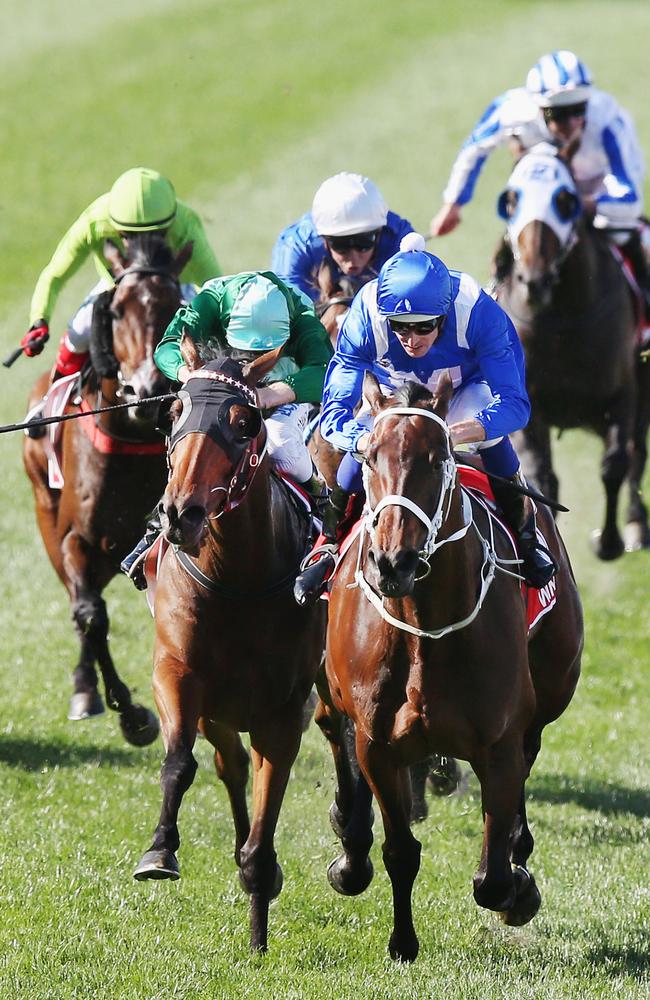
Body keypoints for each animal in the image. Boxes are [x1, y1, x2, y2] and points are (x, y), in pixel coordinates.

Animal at [20, 234, 187, 748]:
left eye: (174, 305)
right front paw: (134, 717)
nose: (145, 391)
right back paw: (85, 688)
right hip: (46, 516)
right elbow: (90, 615)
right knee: (82, 608)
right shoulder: (76, 538)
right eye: (116, 311)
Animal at [133, 342, 324, 952]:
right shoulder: (177, 673)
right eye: (173, 413)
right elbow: (179, 762)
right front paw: (160, 851)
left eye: (244, 423)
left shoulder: (284, 711)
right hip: (218, 712)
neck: (236, 580)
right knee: (230, 765)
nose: (181, 514)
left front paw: (260, 908)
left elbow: (268, 811)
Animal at [318, 374, 584, 960]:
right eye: (367, 457)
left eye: (436, 459)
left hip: (547, 698)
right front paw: (402, 941)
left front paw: (518, 888)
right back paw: (350, 850)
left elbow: (493, 879)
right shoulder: (378, 744)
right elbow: (400, 850)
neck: (426, 628)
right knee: (334, 732)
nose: (391, 562)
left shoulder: (500, 742)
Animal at [494, 146, 644, 560]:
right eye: (511, 200)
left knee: (637, 453)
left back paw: (637, 524)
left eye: (564, 200)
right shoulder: (530, 408)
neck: (560, 322)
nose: (535, 280)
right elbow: (542, 477)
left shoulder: (623, 393)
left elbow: (615, 463)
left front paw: (608, 542)